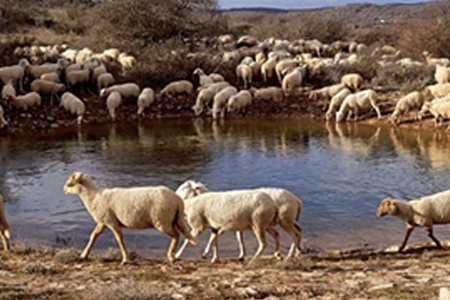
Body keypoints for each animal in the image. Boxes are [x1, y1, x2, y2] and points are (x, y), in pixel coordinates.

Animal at [62, 172, 195, 264]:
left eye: (70, 184)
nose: (64, 190)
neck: (93, 197)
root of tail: (178, 200)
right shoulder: (103, 221)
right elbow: (94, 236)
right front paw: (84, 255)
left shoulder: (111, 222)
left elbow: (119, 239)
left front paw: (125, 259)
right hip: (173, 219)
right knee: (178, 234)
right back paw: (173, 256)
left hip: (162, 220)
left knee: (176, 235)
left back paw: (171, 256)